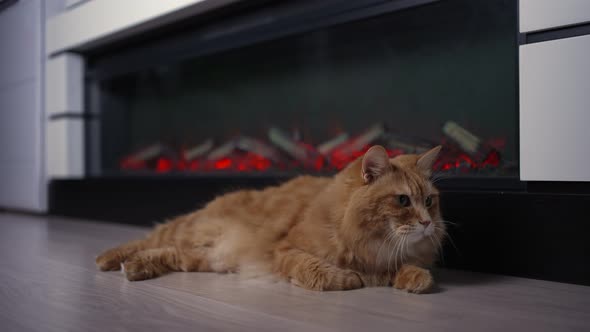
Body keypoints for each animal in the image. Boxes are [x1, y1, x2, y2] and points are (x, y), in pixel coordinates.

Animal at [98, 145, 448, 294]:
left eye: (430, 201)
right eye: (403, 200)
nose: (427, 223)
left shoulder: (387, 262)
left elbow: (405, 270)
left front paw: (417, 279)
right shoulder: (286, 250)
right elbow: (320, 272)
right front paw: (348, 279)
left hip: (206, 258)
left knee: (167, 253)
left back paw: (135, 269)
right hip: (189, 233)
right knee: (148, 238)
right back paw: (109, 260)